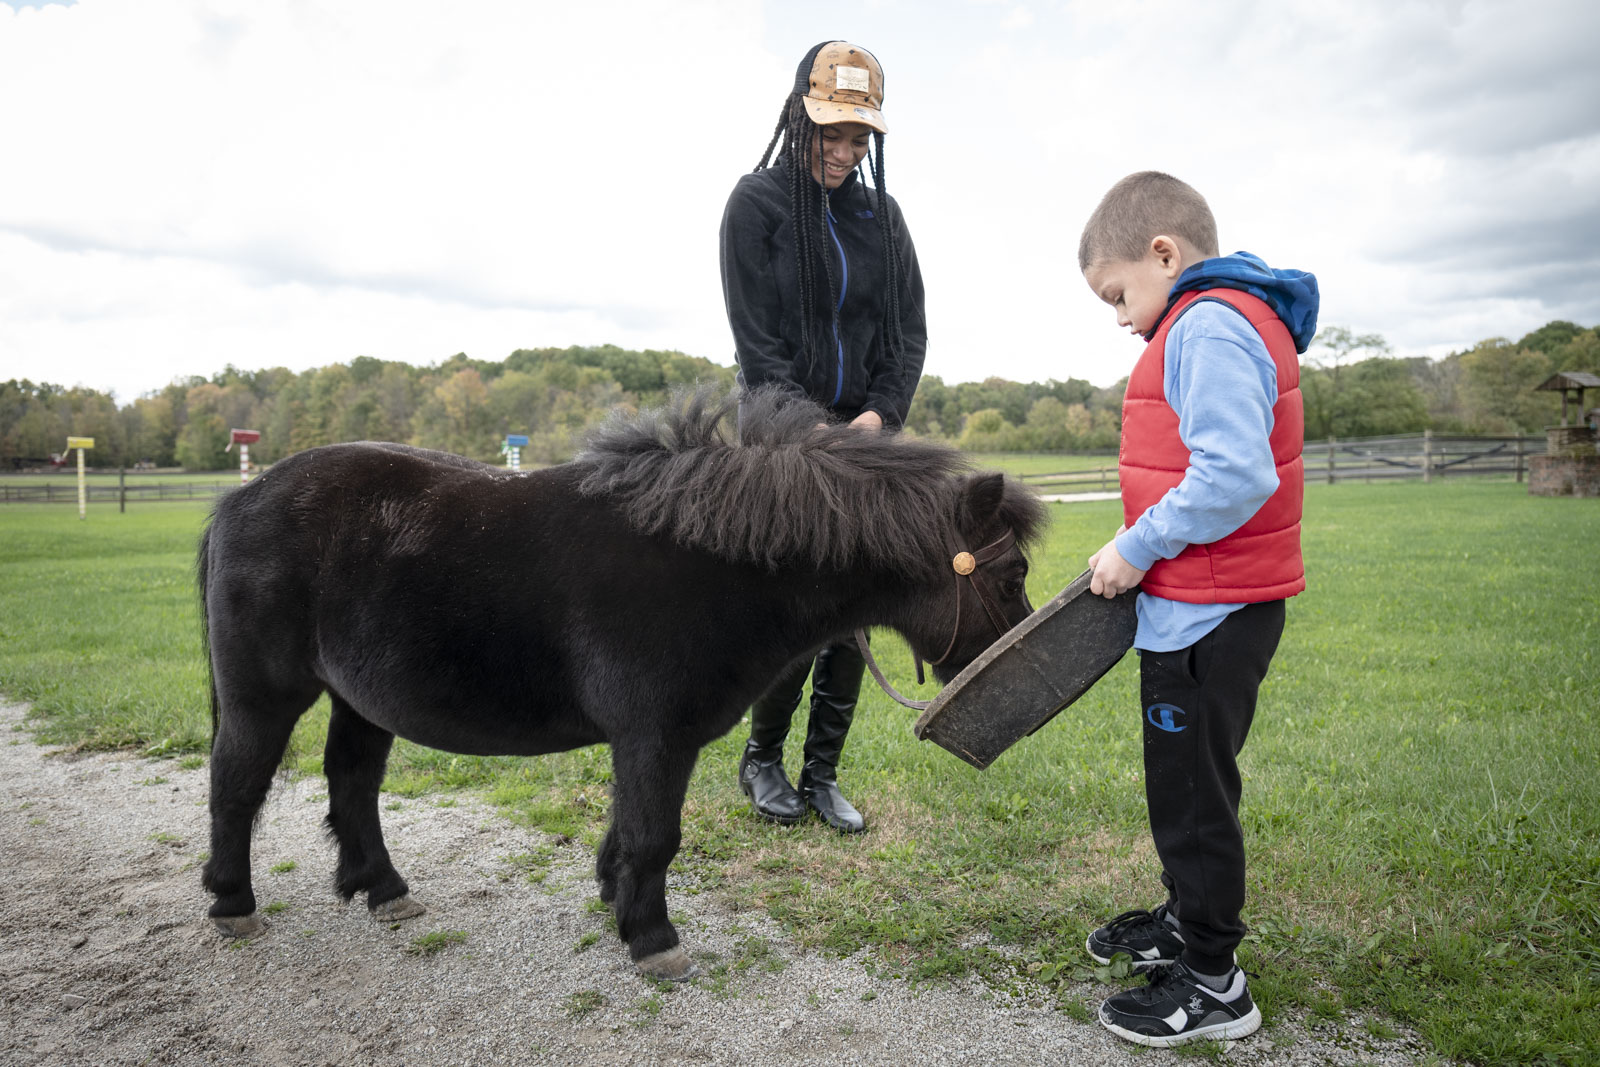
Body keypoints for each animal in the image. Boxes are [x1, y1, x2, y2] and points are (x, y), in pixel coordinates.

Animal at [196, 388, 1049, 979]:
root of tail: (240, 497)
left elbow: (625, 830)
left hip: (359, 697)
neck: (709, 560)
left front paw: (617, 900)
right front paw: (652, 937)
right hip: (264, 696)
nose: (1021, 657)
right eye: (1012, 573)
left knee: (351, 781)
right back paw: (233, 900)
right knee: (237, 784)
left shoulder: (642, 741)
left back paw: (381, 886)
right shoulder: (655, 736)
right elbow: (654, 834)